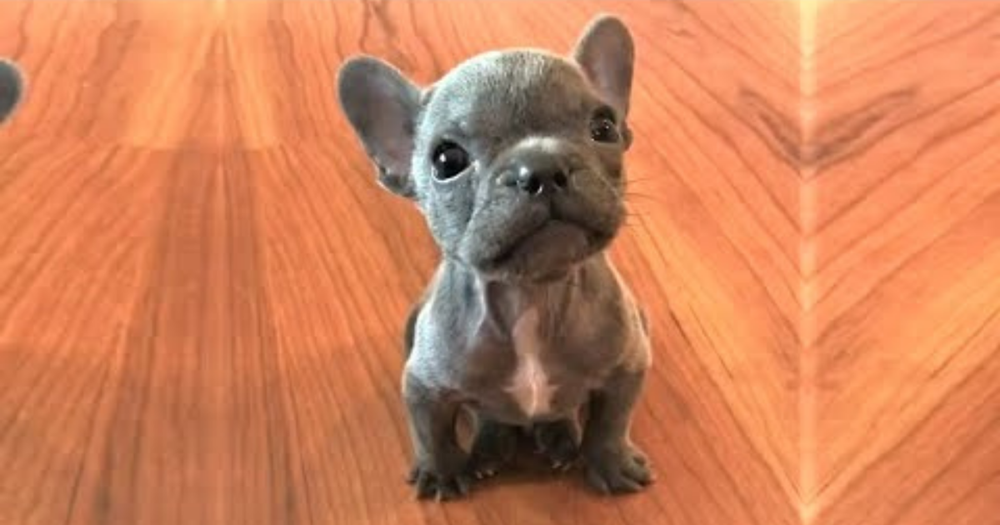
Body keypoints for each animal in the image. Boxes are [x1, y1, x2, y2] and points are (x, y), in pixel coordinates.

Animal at [337, 14, 652, 500]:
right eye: (447, 160)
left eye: (604, 128)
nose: (542, 167)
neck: (531, 294)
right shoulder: (423, 385)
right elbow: (432, 432)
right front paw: (442, 471)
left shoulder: (628, 365)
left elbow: (611, 422)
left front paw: (610, 462)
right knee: (487, 414)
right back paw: (492, 446)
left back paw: (559, 435)